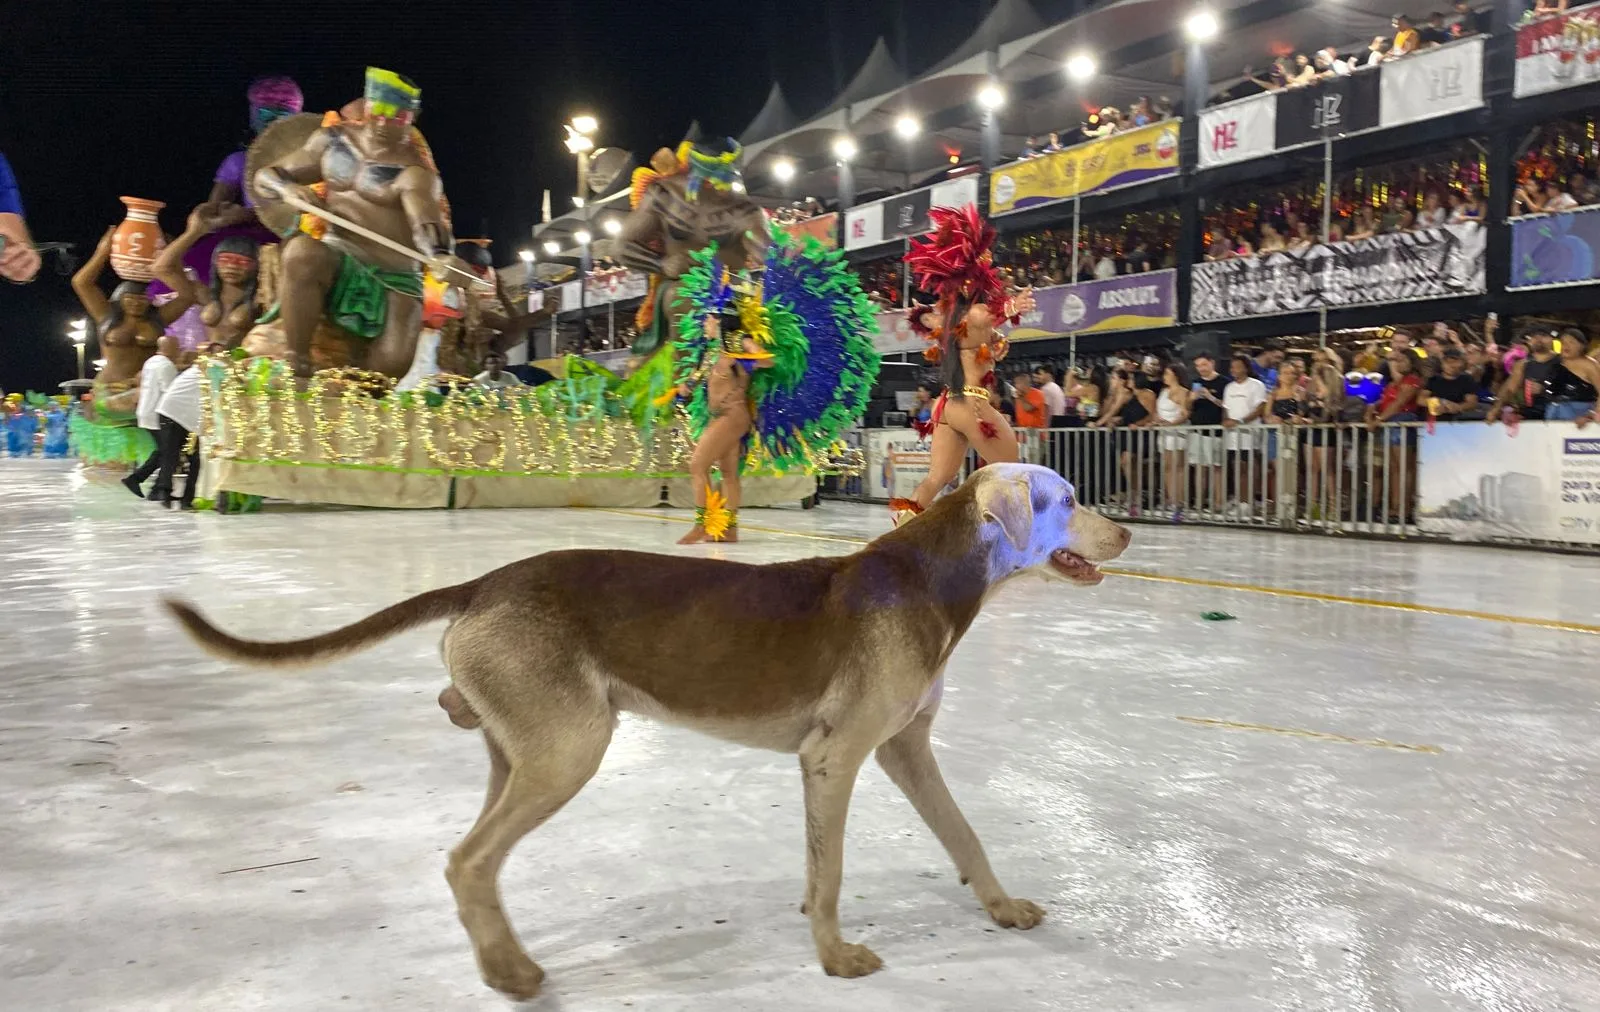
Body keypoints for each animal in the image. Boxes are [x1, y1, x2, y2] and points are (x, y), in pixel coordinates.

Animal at [165, 464, 1126, 999]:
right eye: (1070, 499)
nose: (1122, 530)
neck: (935, 576)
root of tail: (481, 585)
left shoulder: (905, 749)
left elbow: (964, 835)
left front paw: (1000, 908)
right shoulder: (836, 758)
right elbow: (831, 873)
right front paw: (833, 954)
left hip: (521, 752)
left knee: (472, 853)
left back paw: (496, 950)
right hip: (568, 750)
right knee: (468, 860)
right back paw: (512, 975)